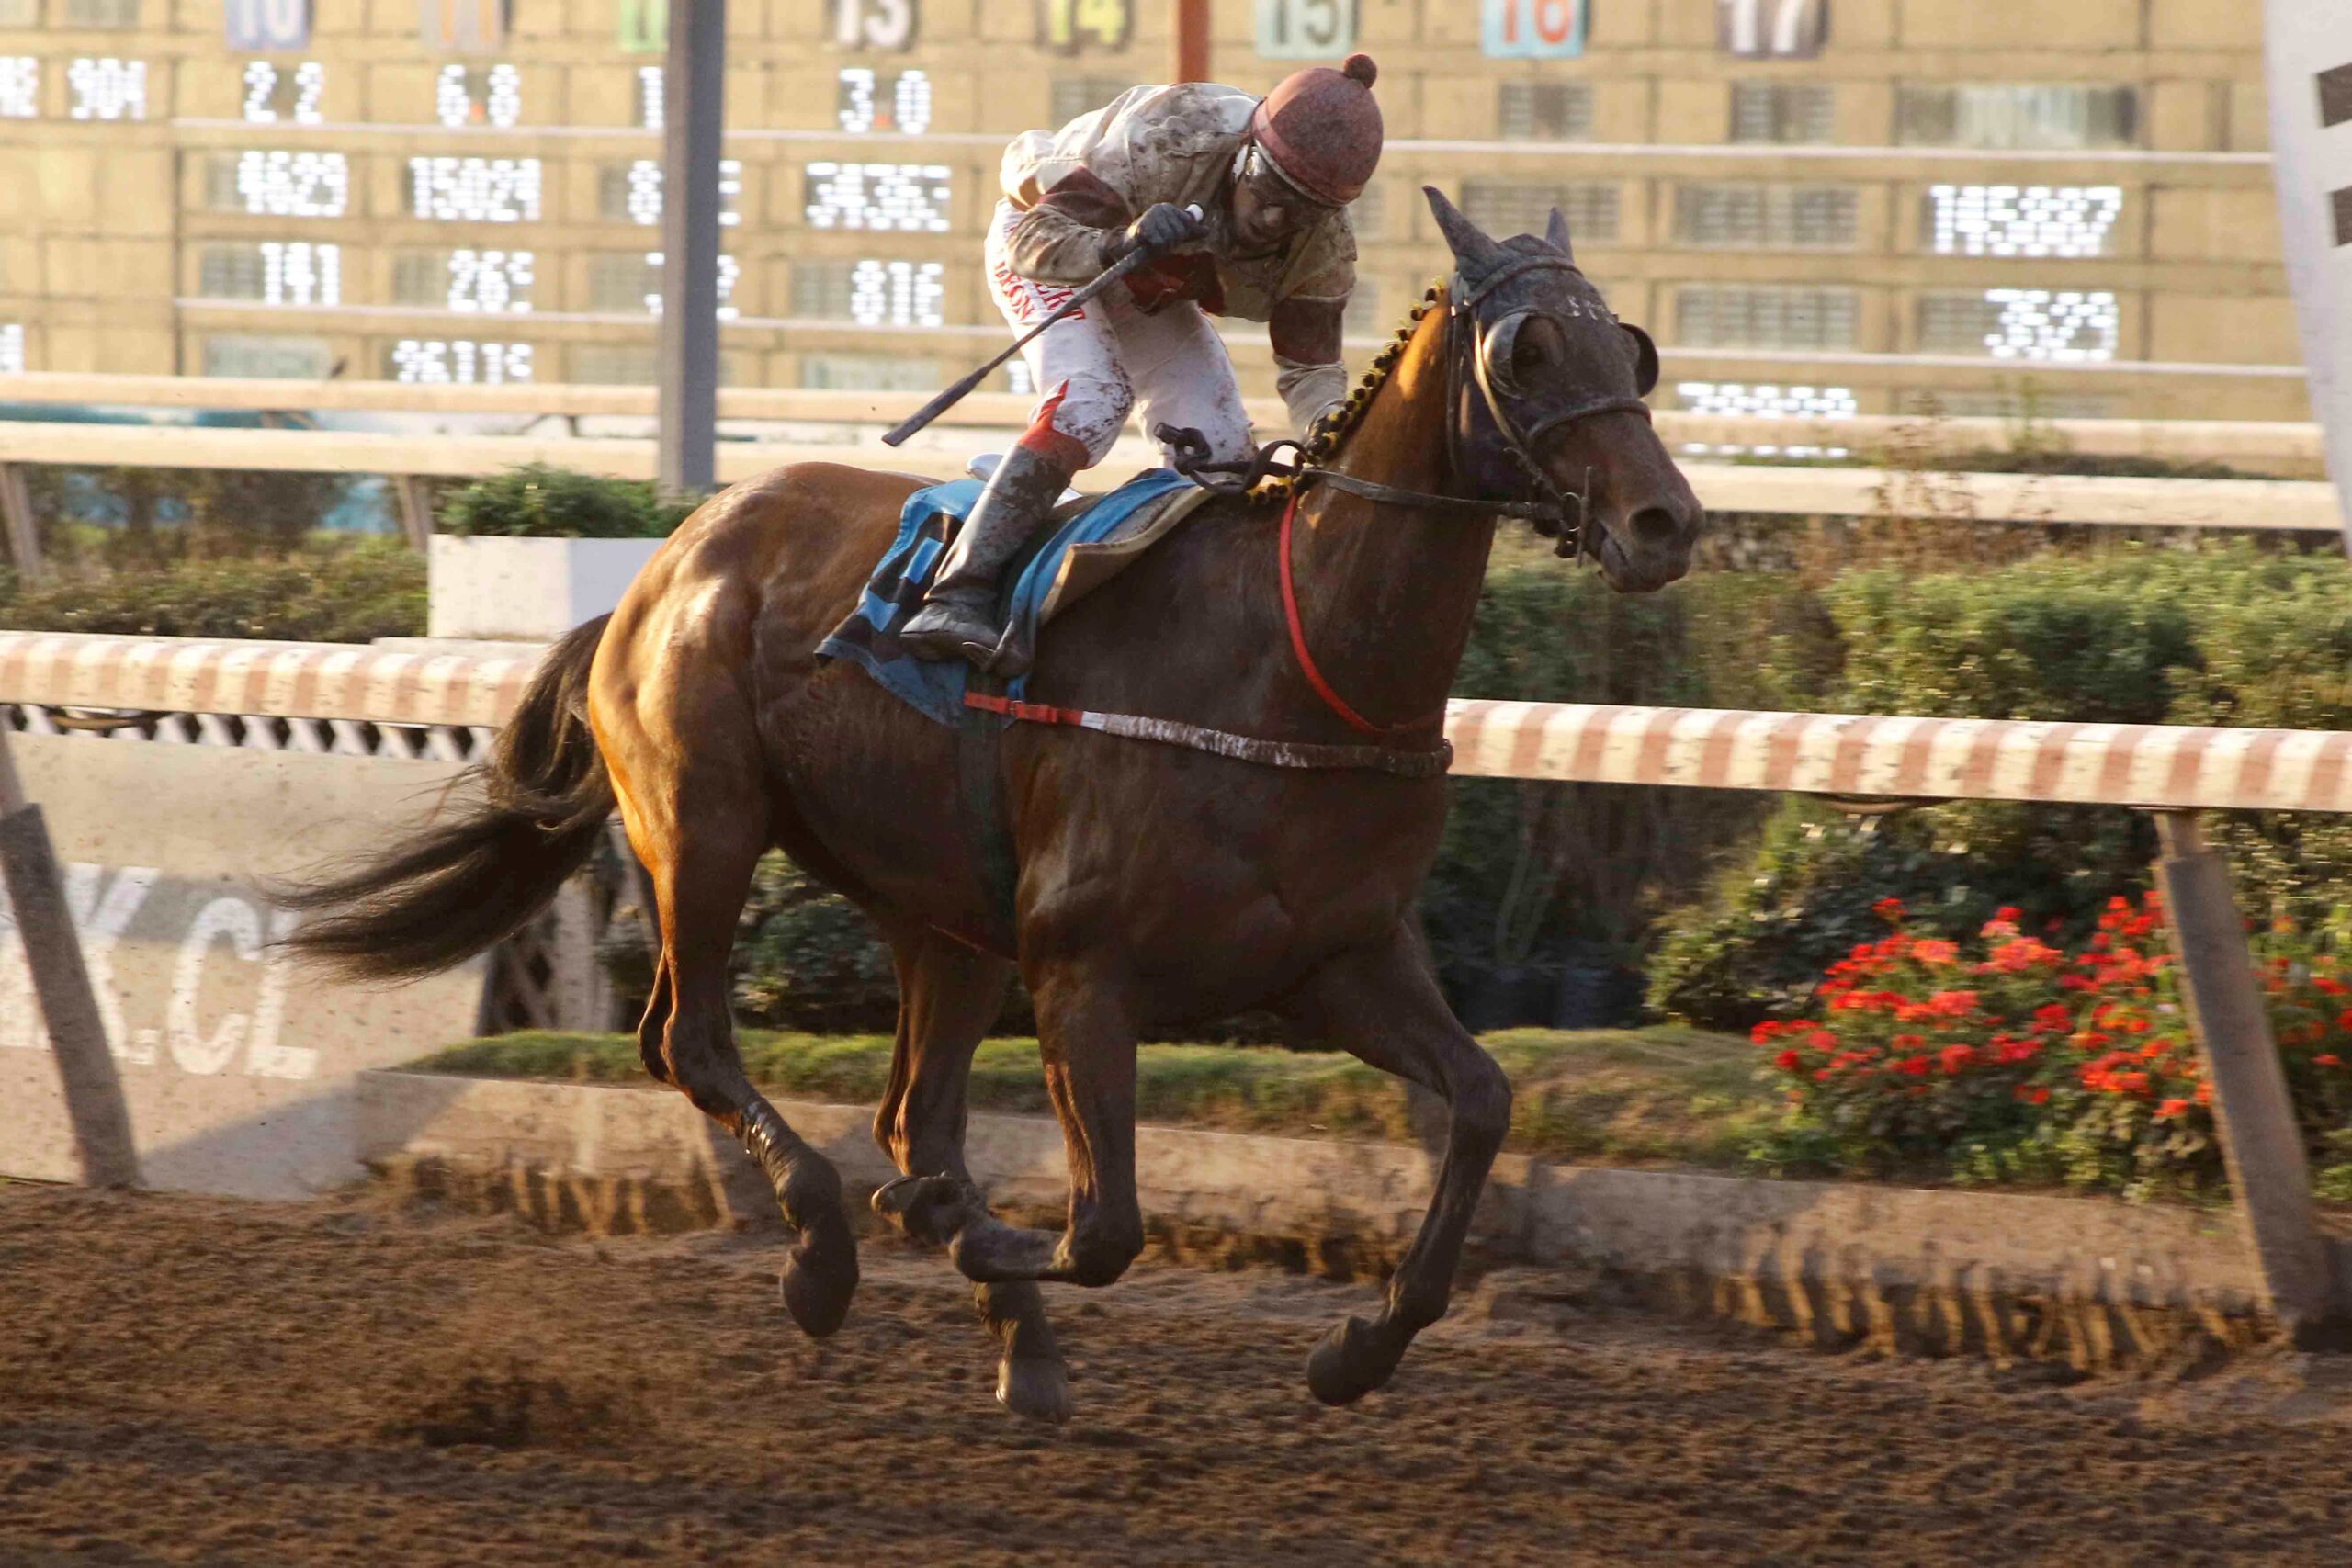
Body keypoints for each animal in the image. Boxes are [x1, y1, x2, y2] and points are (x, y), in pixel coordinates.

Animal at [285, 188, 1702, 1423]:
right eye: (1525, 350)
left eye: (1627, 343)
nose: (1664, 520)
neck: (1297, 666)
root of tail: (664, 564)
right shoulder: (1084, 971)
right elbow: (1106, 1226)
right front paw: (932, 1231)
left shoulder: (1338, 961)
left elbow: (1482, 1099)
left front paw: (1358, 1346)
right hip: (706, 825)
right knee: (691, 1042)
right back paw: (822, 1251)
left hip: (945, 919)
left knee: (909, 1109)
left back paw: (1004, 1327)